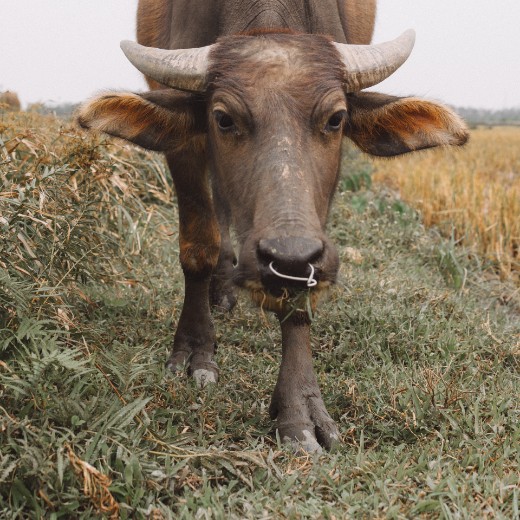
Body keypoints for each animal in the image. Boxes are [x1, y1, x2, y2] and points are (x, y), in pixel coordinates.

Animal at [78, 0, 472, 450]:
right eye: (223, 118)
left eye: (336, 118)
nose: (287, 258)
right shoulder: (186, 148)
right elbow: (198, 246)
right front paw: (195, 351)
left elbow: (301, 298)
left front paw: (300, 409)